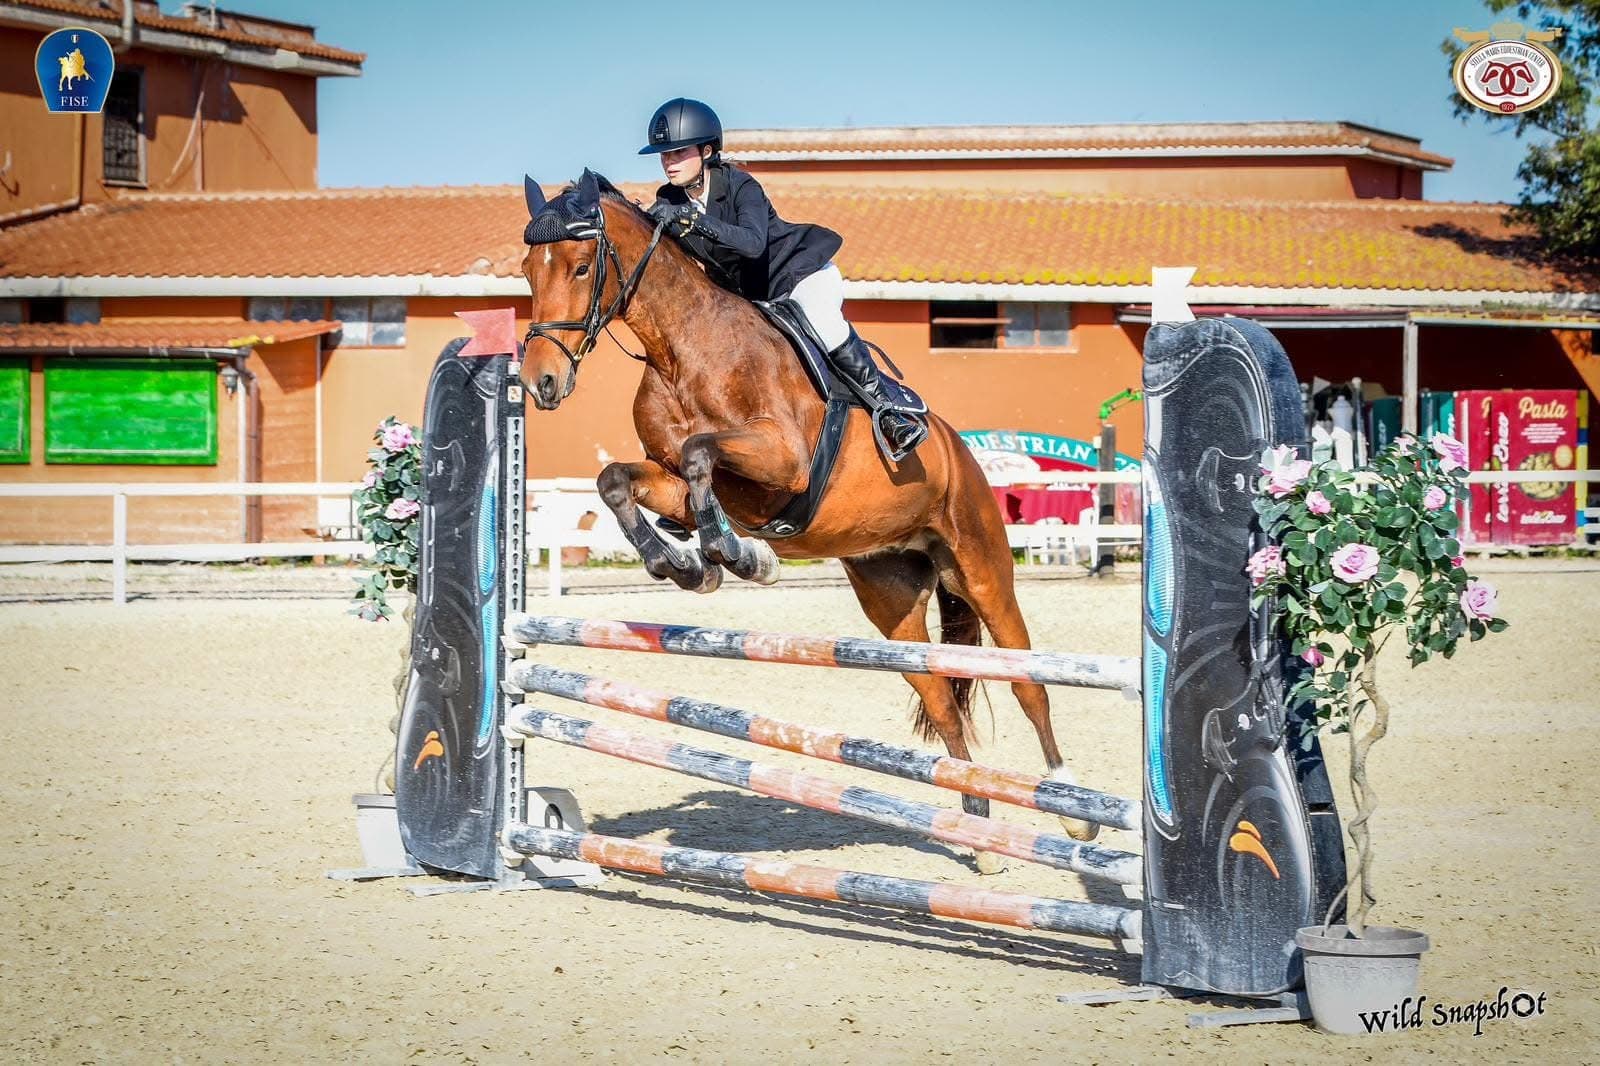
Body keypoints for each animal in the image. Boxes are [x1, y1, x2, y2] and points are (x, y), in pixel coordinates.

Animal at [517, 170, 1098, 857]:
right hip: (890, 596)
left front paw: (738, 555)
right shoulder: (671, 477)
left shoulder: (783, 460)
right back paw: (975, 830)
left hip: (981, 569)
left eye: (582, 267)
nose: (539, 383)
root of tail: (961, 451)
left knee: (1028, 683)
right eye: (528, 271)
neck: (680, 352)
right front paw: (685, 564)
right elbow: (620, 481)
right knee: (940, 696)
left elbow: (698, 452)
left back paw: (1072, 809)